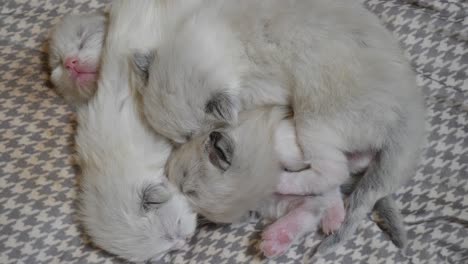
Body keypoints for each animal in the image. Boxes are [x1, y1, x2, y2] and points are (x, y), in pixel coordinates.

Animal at [132, 0, 424, 253]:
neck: (225, 41)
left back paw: (283, 181)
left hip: (315, 120)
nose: (208, 142)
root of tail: (408, 120)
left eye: (193, 136)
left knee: (332, 172)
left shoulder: (263, 90)